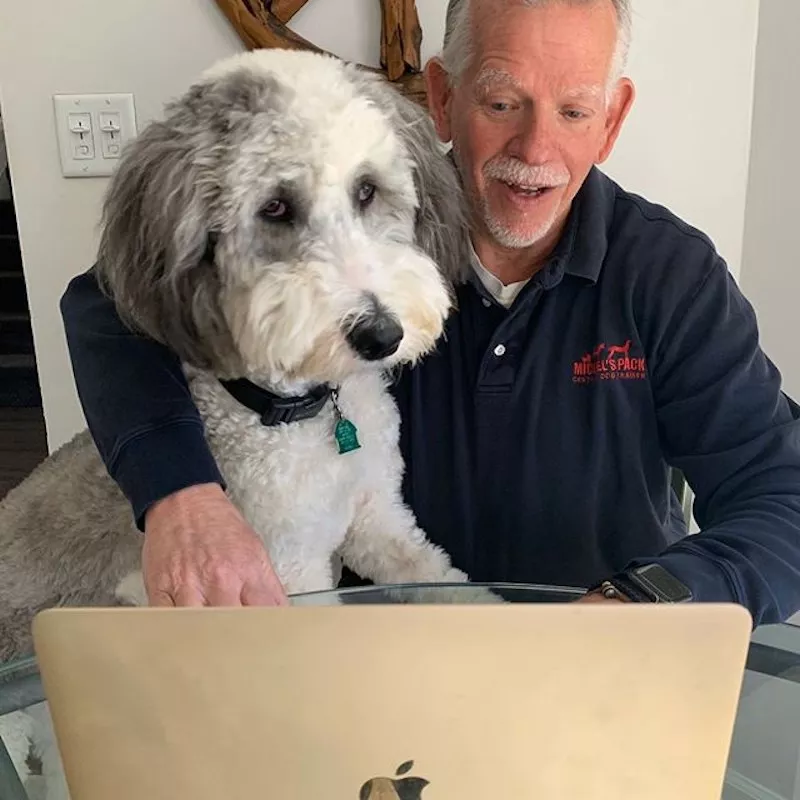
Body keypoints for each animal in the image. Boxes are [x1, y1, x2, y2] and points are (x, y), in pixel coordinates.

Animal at [0, 48, 476, 792]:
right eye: (275, 207)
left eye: (367, 191)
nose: (380, 334)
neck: (303, 416)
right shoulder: (287, 576)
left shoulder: (378, 521)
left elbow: (442, 582)